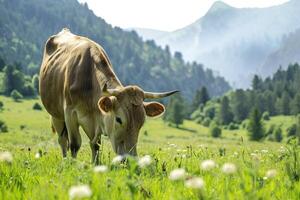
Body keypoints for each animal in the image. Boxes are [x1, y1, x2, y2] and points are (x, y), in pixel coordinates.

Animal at [38, 28, 177, 164]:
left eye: (141, 122)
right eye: (119, 119)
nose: (130, 159)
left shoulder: (97, 122)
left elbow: (95, 145)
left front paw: (96, 165)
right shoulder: (70, 113)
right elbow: (74, 144)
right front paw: (72, 165)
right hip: (56, 114)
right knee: (62, 140)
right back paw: (65, 160)